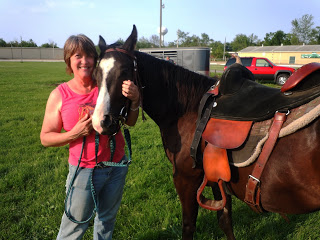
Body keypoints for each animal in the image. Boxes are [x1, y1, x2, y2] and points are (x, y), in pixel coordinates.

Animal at [91, 24, 320, 240]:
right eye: (96, 74)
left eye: (125, 72)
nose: (102, 122)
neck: (188, 109)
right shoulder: (217, 176)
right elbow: (225, 220)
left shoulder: (185, 178)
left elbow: (188, 226)